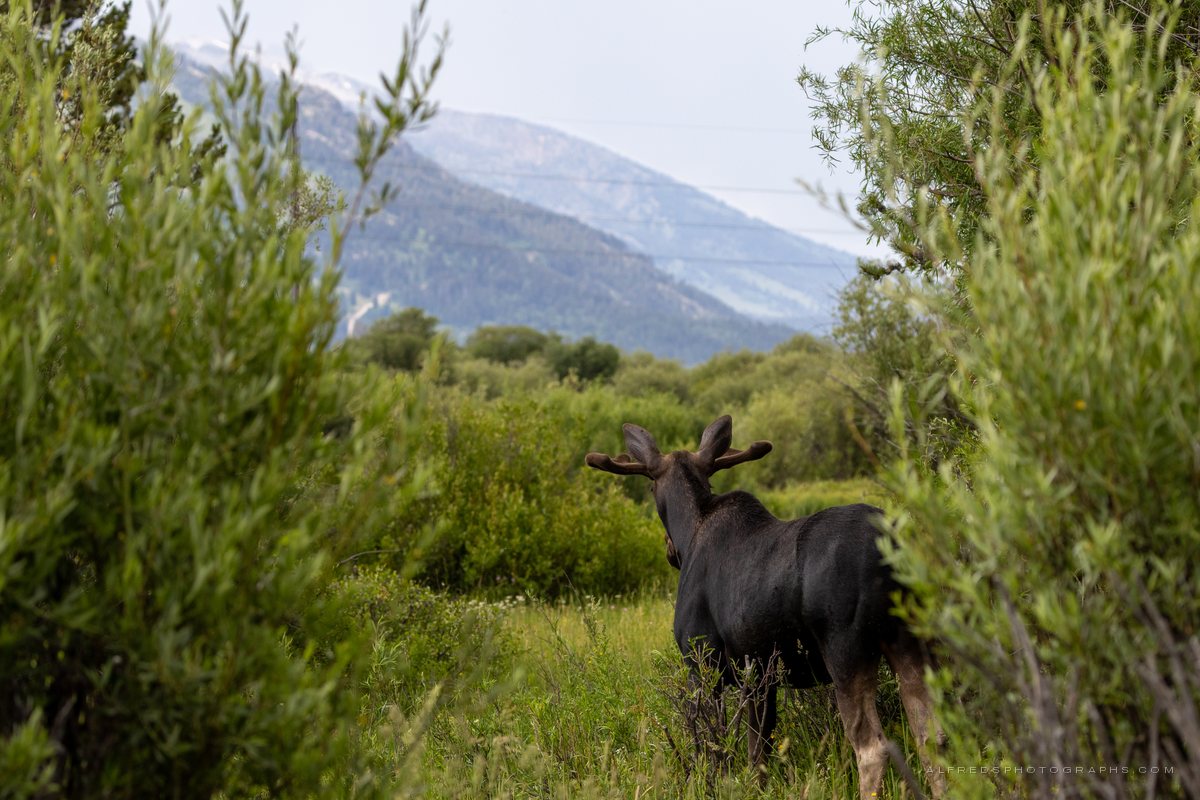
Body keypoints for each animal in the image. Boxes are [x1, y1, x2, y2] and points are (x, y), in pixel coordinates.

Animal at [585, 415, 945, 799]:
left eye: (651, 487)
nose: (669, 551)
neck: (691, 529)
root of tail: (892, 550)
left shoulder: (702, 662)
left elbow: (715, 750)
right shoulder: (760, 677)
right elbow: (759, 755)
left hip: (846, 649)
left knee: (872, 748)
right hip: (911, 640)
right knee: (932, 737)